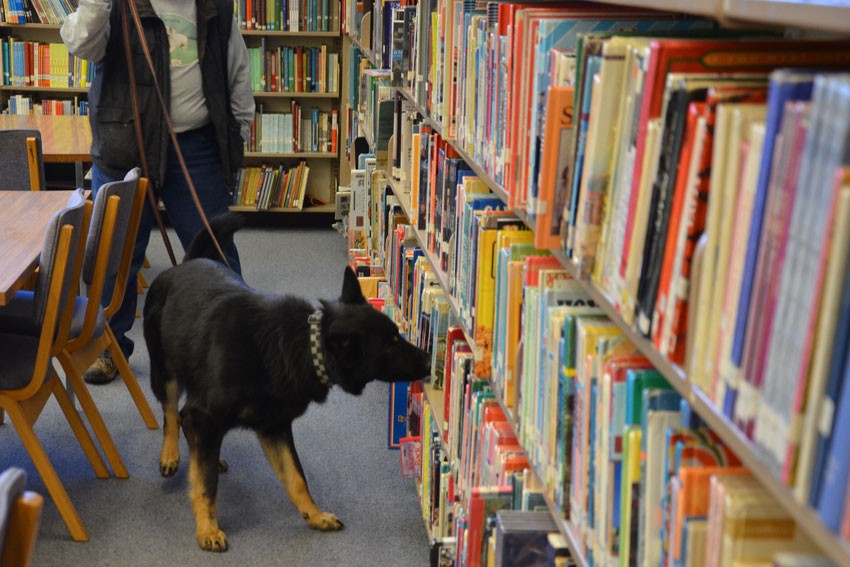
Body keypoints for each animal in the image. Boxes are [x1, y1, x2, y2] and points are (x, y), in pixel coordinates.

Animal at [144, 215, 430, 552]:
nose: (429, 360)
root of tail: (186, 263)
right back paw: (171, 455)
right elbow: (206, 484)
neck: (300, 347)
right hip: (165, 373)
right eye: (389, 346)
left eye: (397, 335)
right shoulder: (205, 415)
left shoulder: (274, 427)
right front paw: (207, 529)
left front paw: (314, 515)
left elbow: (296, 478)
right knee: (171, 414)